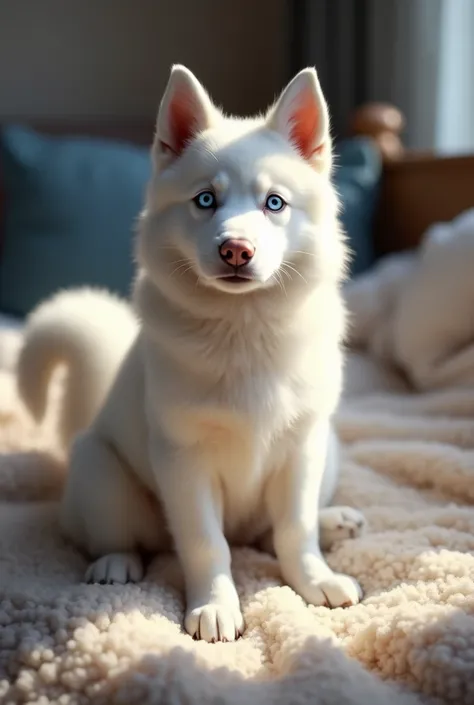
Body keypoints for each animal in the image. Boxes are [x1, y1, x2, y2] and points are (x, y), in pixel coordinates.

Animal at [17, 67, 366, 644]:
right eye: (205, 200)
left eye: (274, 203)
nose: (236, 250)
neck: (244, 328)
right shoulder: (184, 459)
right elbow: (206, 543)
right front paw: (215, 606)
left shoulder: (303, 444)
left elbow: (294, 529)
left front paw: (314, 579)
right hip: (98, 468)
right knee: (124, 538)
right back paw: (115, 563)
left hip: (331, 451)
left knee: (268, 533)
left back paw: (334, 522)